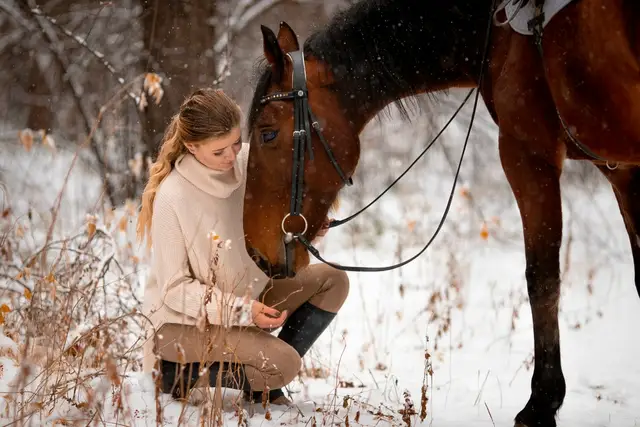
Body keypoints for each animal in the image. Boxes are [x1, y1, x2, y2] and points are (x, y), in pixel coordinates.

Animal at [242, 0, 640, 425]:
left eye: (268, 133)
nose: (255, 252)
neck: (498, 37)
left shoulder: (527, 154)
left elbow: (542, 280)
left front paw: (540, 404)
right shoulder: (621, 168)